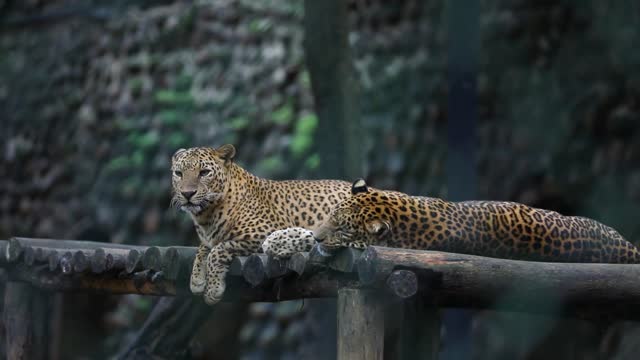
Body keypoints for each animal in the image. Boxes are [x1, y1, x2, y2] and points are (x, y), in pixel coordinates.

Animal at [170, 143, 358, 304]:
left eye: (204, 172)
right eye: (179, 173)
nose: (187, 193)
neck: (206, 217)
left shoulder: (265, 233)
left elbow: (218, 249)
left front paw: (213, 289)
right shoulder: (208, 238)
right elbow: (203, 249)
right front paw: (196, 280)